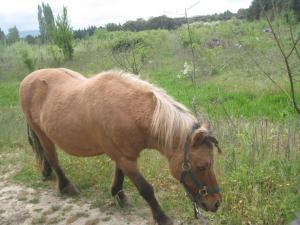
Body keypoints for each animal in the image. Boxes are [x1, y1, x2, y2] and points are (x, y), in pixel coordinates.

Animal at [18, 68, 220, 225]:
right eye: (202, 166)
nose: (216, 203)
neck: (128, 111)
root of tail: (27, 79)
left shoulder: (122, 156)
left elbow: (119, 175)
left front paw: (118, 195)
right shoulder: (125, 159)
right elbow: (146, 189)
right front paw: (162, 217)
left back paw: (47, 173)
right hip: (43, 134)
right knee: (52, 157)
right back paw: (66, 186)